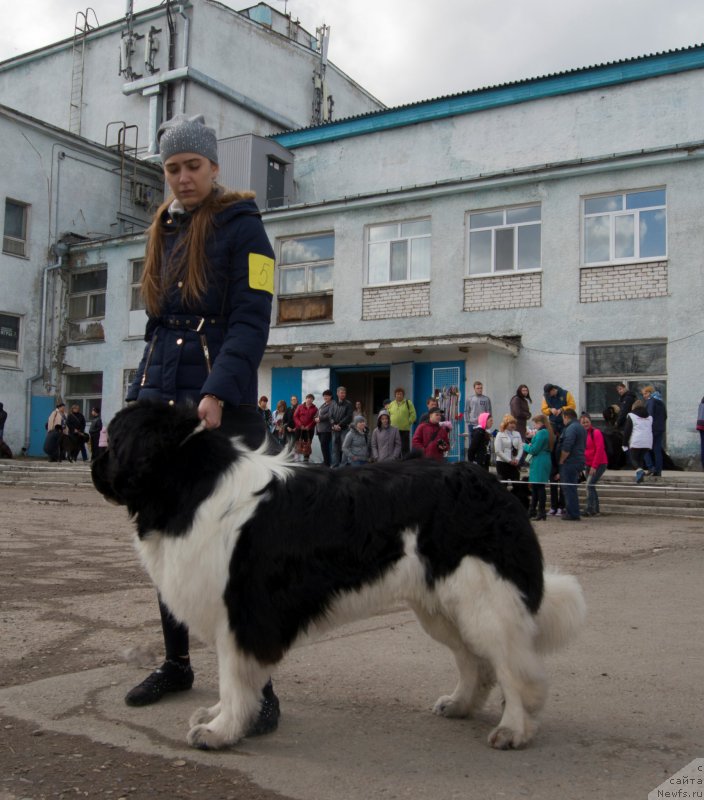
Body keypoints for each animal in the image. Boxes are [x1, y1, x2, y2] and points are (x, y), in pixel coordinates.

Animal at [95, 404, 588, 752]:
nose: (96, 458)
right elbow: (234, 677)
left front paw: (222, 730)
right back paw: (460, 704)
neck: (190, 483)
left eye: (114, 438)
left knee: (512, 666)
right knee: (476, 662)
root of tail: (492, 484)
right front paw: (220, 716)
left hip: (484, 598)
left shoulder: (243, 612)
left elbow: (235, 677)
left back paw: (514, 729)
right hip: (441, 606)